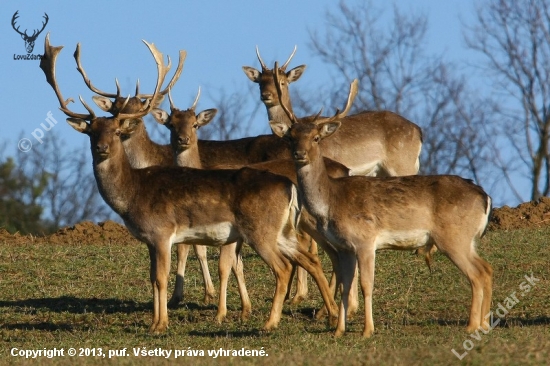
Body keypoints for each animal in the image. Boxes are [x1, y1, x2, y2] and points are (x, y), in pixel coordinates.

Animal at [40, 35, 340, 334]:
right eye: (91, 132)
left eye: (115, 131)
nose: (101, 148)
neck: (132, 194)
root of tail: (289, 187)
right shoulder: (150, 240)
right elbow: (152, 278)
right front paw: (154, 322)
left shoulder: (162, 231)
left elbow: (161, 277)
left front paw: (161, 324)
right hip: (284, 231)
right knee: (310, 259)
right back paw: (331, 315)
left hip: (261, 230)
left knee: (284, 267)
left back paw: (271, 322)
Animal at [272, 65, 496, 338]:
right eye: (291, 138)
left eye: (316, 138)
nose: (300, 154)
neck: (331, 202)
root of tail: (485, 197)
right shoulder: (345, 247)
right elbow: (346, 287)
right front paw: (338, 331)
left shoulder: (365, 239)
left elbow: (366, 285)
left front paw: (367, 330)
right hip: (467, 240)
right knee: (486, 269)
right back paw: (484, 323)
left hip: (454, 237)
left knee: (476, 274)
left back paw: (472, 325)